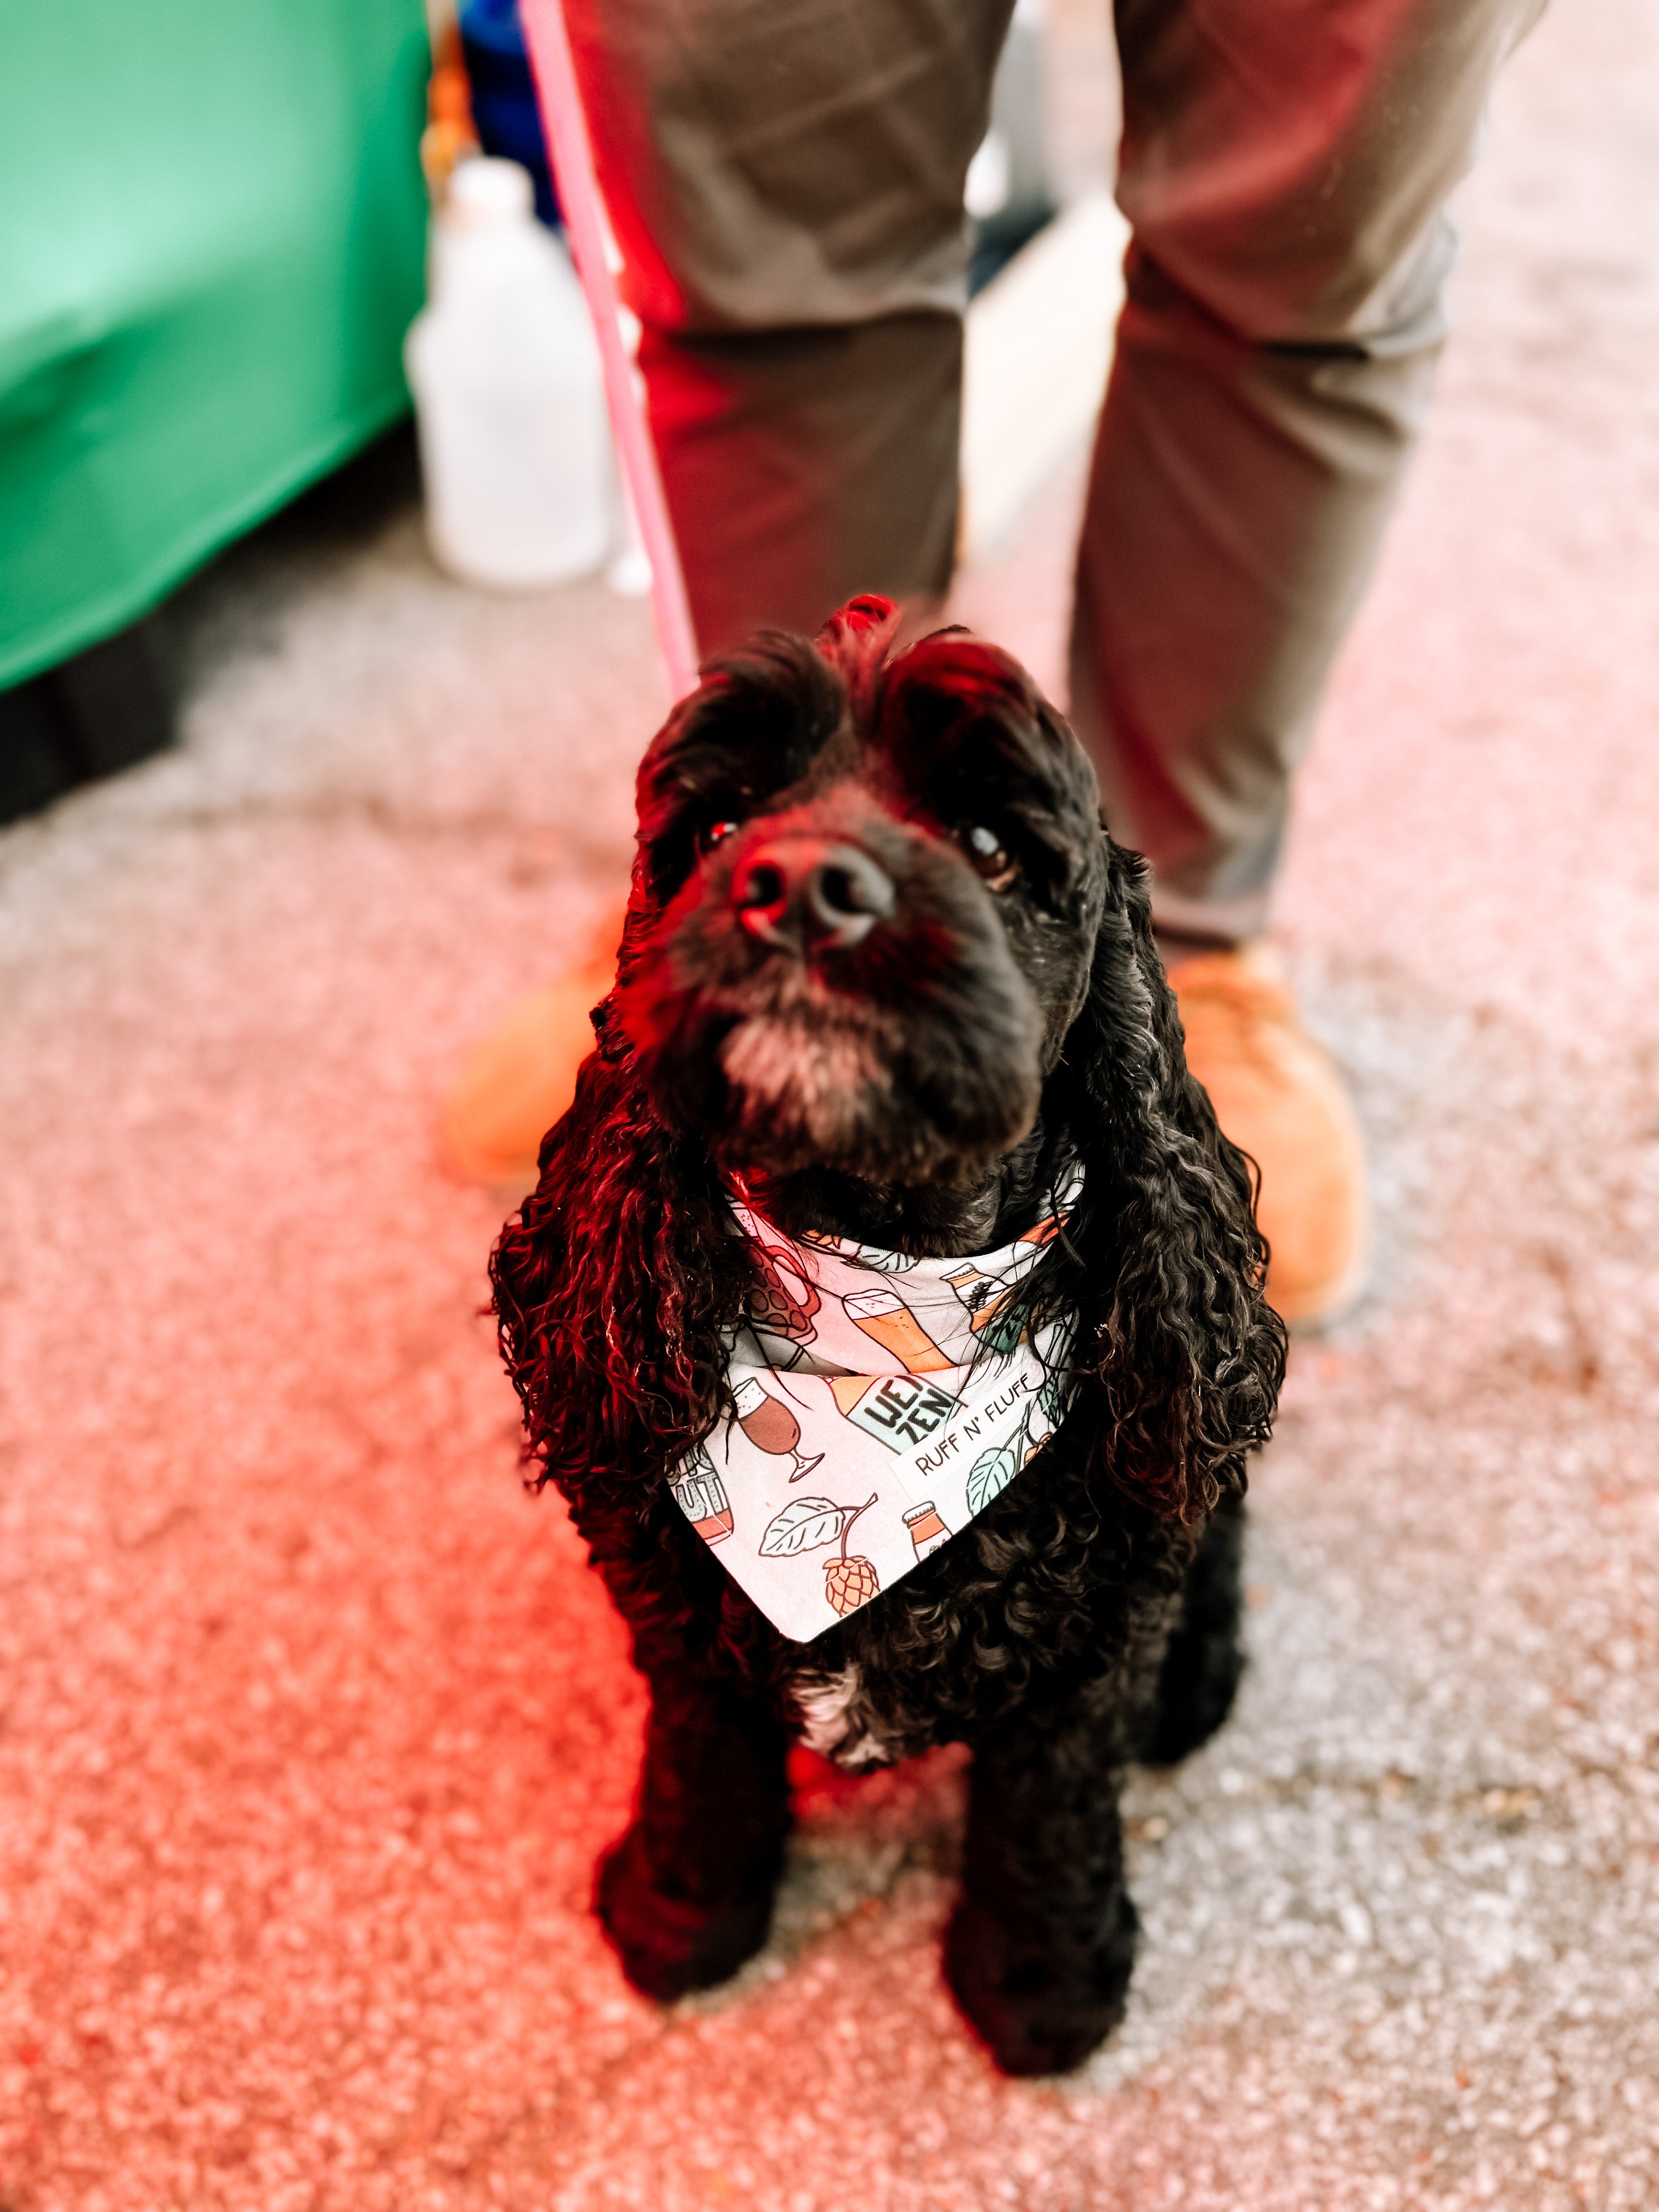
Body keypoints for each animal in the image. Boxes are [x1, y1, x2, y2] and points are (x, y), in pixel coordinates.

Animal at [487, 588, 1291, 2070]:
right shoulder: (677, 1630)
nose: (803, 886)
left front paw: (1040, 1988)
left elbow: (1047, 1817)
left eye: (990, 845)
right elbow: (699, 1763)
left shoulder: (1089, 1662)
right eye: (716, 831)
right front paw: (682, 1915)